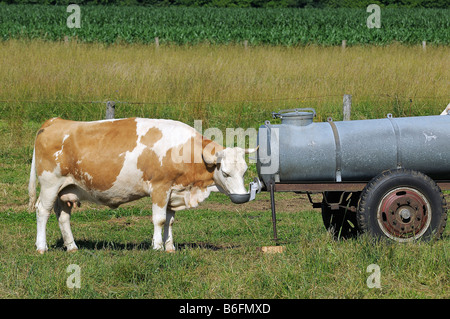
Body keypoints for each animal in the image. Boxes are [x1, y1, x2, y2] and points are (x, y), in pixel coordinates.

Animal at [29, 116, 256, 254]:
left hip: (66, 190)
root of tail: (56, 121)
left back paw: (72, 246)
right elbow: (159, 220)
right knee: (42, 211)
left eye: (244, 171)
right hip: (50, 185)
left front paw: (170, 247)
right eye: (225, 173)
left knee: (63, 216)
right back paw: (41, 247)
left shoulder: (174, 191)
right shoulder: (160, 188)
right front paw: (157, 247)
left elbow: (170, 221)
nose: (242, 197)